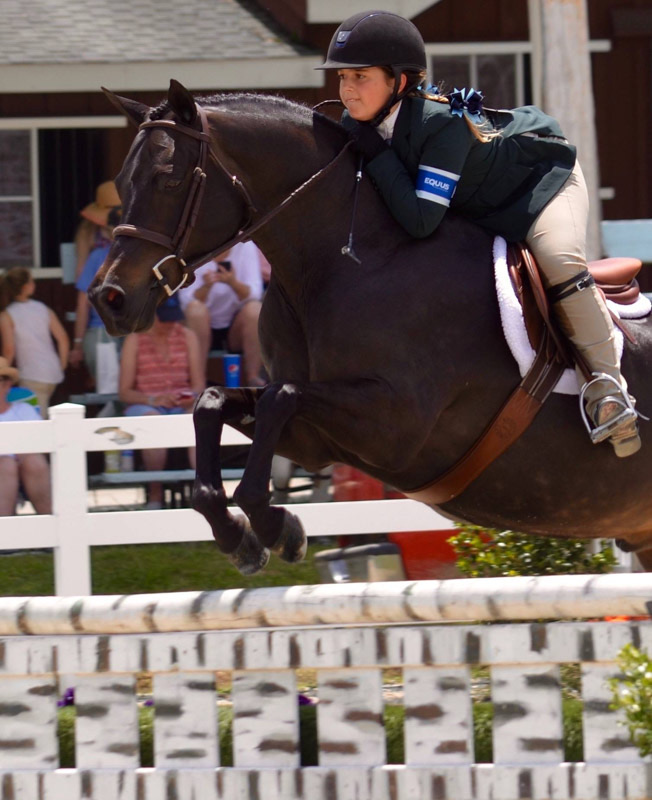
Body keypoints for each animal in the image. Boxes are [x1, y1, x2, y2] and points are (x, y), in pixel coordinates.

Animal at [90, 79, 652, 568]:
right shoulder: (317, 440)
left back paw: (611, 409)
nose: (108, 299)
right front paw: (244, 537)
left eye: (169, 179)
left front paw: (277, 529)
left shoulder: (398, 426)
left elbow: (279, 398)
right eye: (121, 182)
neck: (338, 264)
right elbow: (213, 402)